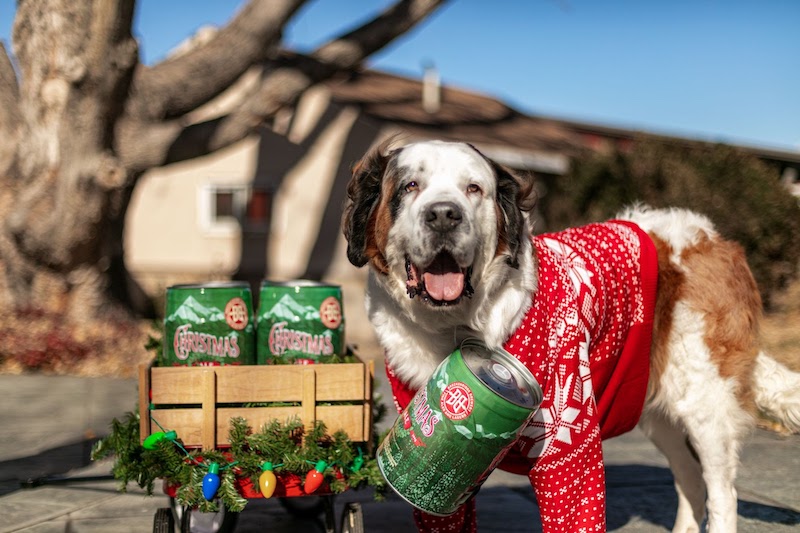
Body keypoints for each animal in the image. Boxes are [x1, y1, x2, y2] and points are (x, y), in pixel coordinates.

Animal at [344, 138, 800, 532]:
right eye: (411, 186)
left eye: (473, 189)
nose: (443, 215)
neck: (455, 325)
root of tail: (716, 239)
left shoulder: (568, 440)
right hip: (655, 406)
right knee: (690, 477)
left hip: (705, 402)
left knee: (721, 491)